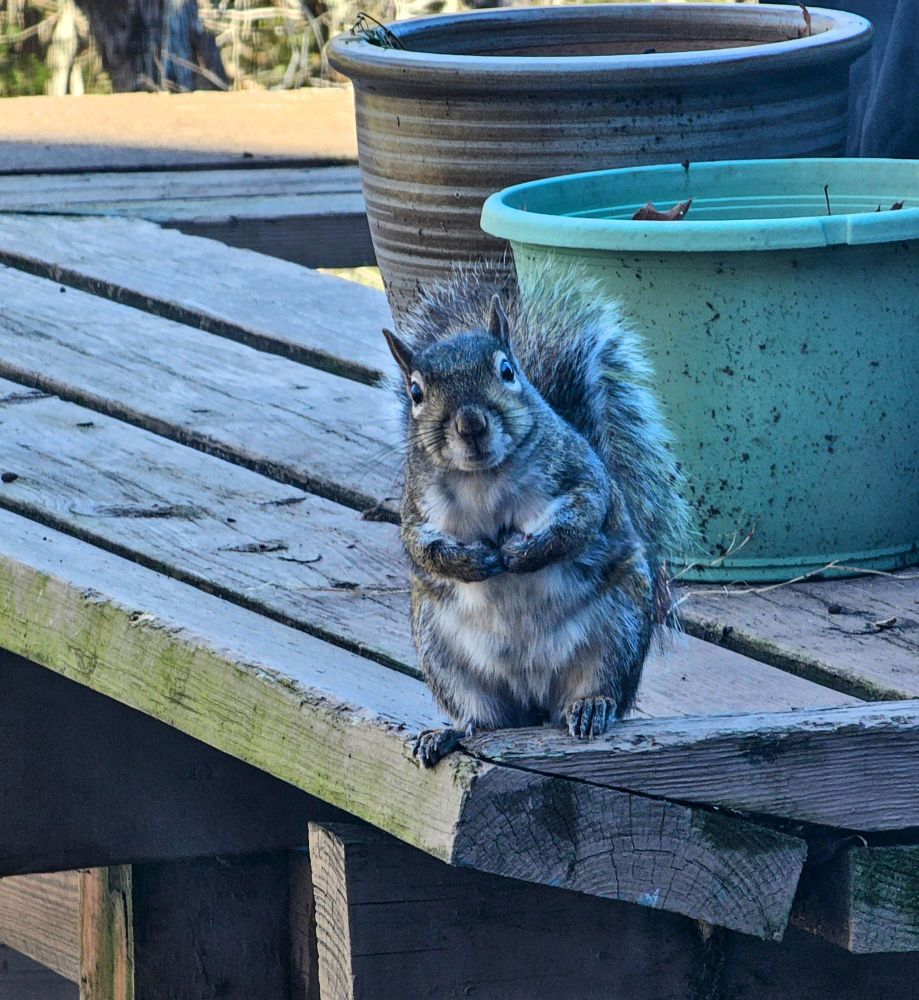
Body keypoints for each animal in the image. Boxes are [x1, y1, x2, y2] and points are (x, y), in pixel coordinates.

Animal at [382, 263, 688, 767]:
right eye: (415, 392)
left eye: (507, 371)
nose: (471, 424)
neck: (483, 477)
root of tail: (534, 700)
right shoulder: (416, 507)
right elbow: (421, 547)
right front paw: (473, 562)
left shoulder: (582, 476)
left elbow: (582, 518)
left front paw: (523, 554)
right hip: (443, 653)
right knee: (483, 718)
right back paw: (450, 732)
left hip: (619, 628)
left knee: (600, 685)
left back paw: (591, 706)